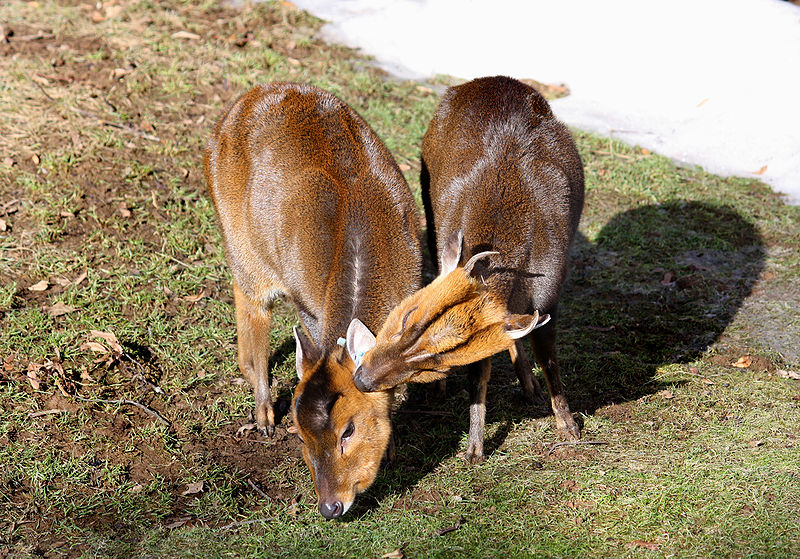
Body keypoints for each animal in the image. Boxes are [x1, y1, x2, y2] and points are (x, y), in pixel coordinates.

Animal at [203, 83, 422, 520]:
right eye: (301, 437)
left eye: (348, 429)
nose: (330, 506)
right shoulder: (308, 306)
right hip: (242, 246)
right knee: (253, 310)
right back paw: (262, 415)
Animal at [346, 76, 584, 466]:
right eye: (406, 316)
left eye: (437, 361)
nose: (361, 379)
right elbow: (480, 374)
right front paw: (474, 448)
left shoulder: (550, 296)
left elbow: (549, 361)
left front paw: (568, 425)